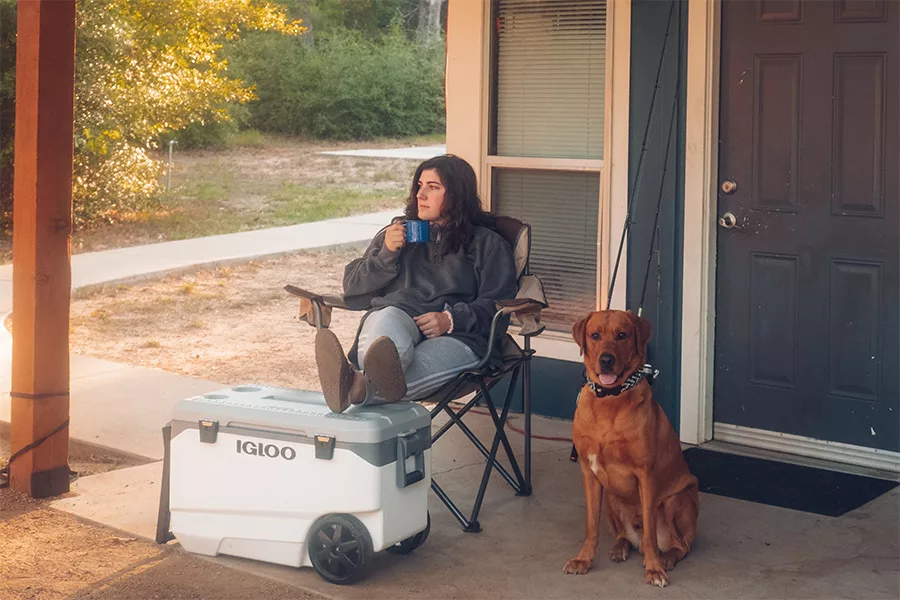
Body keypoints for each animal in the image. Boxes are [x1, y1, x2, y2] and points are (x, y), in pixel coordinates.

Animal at [568, 312, 700, 588]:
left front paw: (653, 569)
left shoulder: (646, 475)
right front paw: (583, 559)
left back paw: (666, 558)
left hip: (677, 499)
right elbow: (591, 526)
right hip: (610, 496)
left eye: (622, 335)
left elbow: (650, 532)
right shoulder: (589, 473)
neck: (609, 400)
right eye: (594, 335)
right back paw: (621, 546)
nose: (606, 360)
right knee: (623, 535)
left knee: (680, 544)